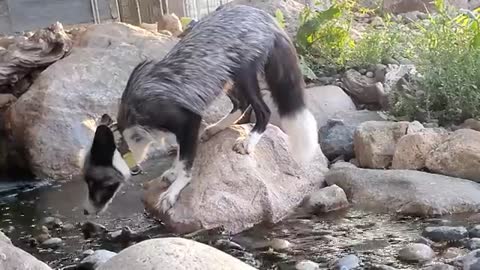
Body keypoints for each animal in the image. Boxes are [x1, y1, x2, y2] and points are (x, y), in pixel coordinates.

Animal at [81, 3, 318, 215]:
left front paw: (173, 191)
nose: (85, 212)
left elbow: (186, 163)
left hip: (244, 73)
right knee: (240, 104)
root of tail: (262, 16)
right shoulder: (180, 129)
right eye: (87, 182)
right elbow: (179, 154)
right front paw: (172, 172)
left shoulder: (188, 121)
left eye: (96, 182)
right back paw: (216, 128)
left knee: (262, 110)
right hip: (225, 77)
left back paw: (248, 141)